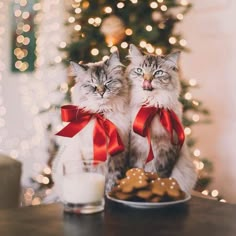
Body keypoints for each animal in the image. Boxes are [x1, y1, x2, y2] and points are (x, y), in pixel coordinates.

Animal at [51, 50, 130, 198]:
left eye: (108, 82)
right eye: (92, 86)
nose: (101, 92)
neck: (102, 115)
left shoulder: (117, 158)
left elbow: (111, 182)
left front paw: (108, 196)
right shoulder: (88, 156)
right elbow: (93, 176)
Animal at [127, 43, 197, 194]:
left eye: (158, 73)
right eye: (139, 70)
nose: (147, 80)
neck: (151, 106)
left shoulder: (167, 152)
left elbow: (161, 176)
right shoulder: (135, 150)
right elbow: (134, 171)